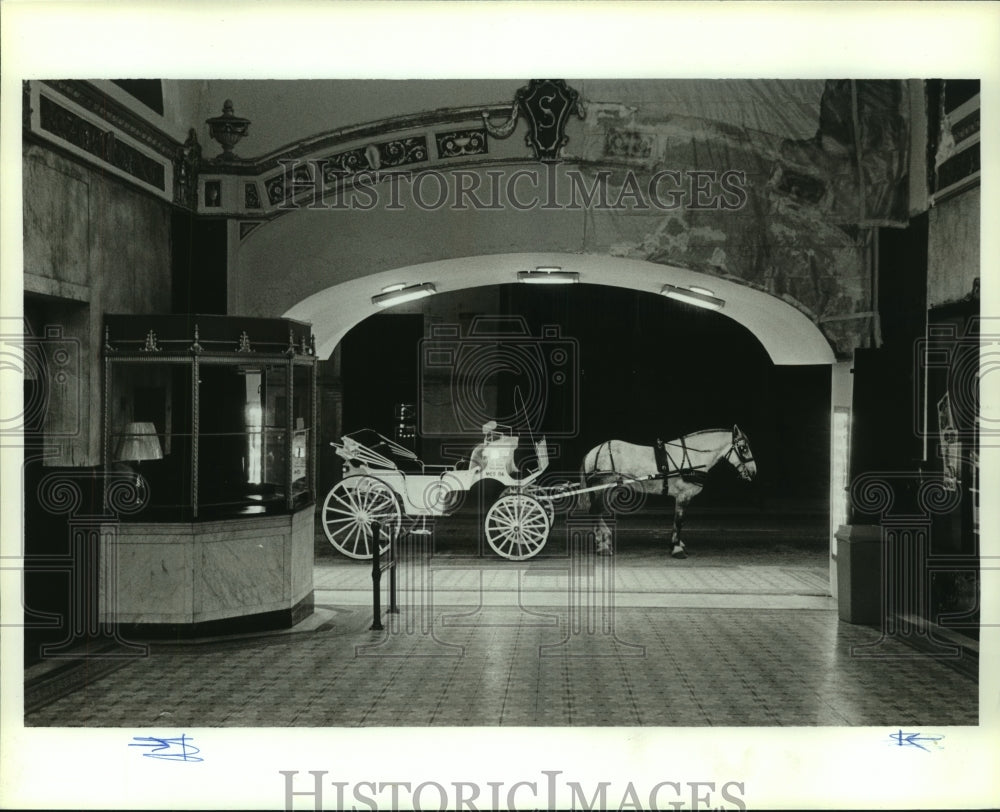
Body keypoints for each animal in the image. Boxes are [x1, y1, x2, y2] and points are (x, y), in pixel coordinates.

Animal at [580, 428, 756, 556]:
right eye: (743, 448)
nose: (754, 472)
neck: (692, 456)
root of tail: (593, 451)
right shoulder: (683, 496)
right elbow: (679, 521)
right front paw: (676, 548)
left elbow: (678, 522)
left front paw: (678, 544)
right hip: (606, 488)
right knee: (595, 511)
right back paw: (603, 545)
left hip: (611, 489)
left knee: (596, 512)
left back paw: (603, 540)